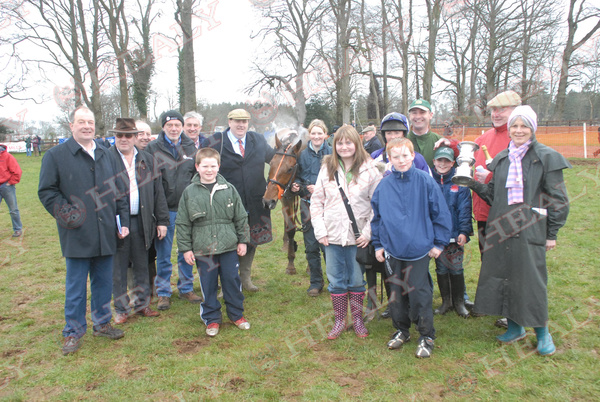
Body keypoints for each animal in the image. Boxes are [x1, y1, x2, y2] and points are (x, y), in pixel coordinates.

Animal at [262, 133, 302, 274]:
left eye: (290, 169)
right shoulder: (287, 198)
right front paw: (290, 264)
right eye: (271, 163)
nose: (267, 201)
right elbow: (290, 228)